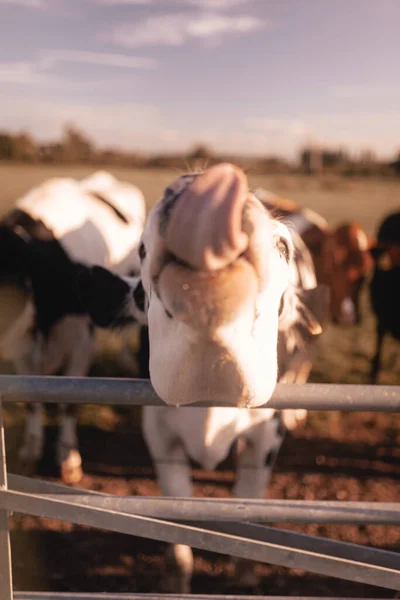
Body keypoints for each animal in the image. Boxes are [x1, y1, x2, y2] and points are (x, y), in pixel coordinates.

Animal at [0, 170, 145, 482]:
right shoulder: (22, 345)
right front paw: (31, 450)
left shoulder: (81, 339)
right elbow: (32, 395)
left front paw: (68, 459)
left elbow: (70, 399)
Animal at [79, 163, 328, 592]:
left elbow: (248, 504)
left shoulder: (265, 438)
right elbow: (179, 523)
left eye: (283, 245)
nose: (205, 184)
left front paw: (245, 578)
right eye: (141, 249)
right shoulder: (159, 434)